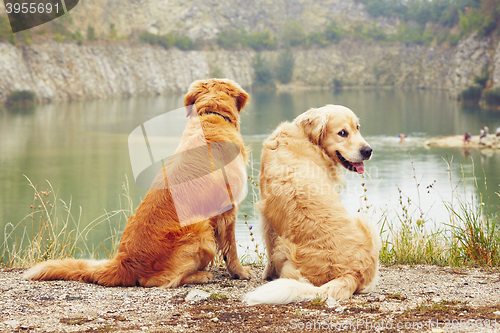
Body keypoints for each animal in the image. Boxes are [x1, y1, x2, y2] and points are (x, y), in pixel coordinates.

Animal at [23, 79, 252, 286]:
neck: (211, 117)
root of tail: (123, 262)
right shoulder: (229, 208)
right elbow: (231, 248)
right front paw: (239, 272)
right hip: (200, 229)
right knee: (161, 280)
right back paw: (200, 275)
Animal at [244, 105, 380, 304]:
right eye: (342, 133)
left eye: (357, 128)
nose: (368, 150)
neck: (305, 137)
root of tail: (352, 273)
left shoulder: (267, 216)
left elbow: (269, 250)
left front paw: (268, 274)